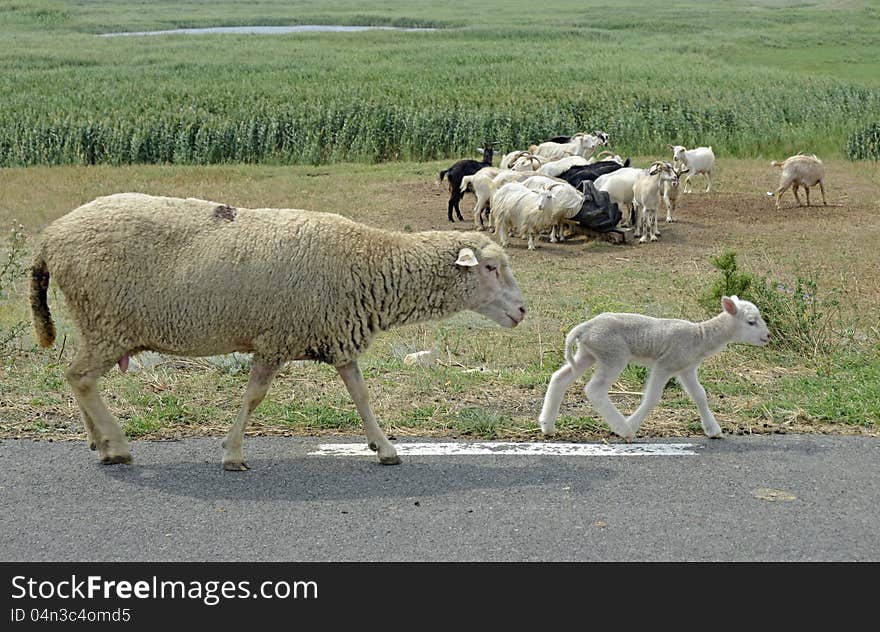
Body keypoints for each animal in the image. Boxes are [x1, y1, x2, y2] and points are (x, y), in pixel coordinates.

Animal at [32, 193, 528, 470]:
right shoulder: (275, 338)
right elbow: (254, 397)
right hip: (106, 319)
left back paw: (100, 442)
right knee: (79, 377)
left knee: (80, 379)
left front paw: (384, 447)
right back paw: (116, 445)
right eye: (490, 267)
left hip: (98, 323)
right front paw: (232, 454)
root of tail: (50, 236)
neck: (369, 262)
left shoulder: (337, 338)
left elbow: (361, 395)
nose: (523, 310)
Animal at [536, 296, 768, 440]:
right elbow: (652, 397)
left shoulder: (686, 368)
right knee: (595, 390)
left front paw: (713, 430)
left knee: (560, 378)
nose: (768, 336)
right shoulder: (665, 364)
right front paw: (633, 423)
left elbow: (700, 395)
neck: (700, 337)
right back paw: (623, 428)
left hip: (588, 353)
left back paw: (547, 425)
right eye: (751, 322)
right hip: (613, 355)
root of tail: (584, 328)